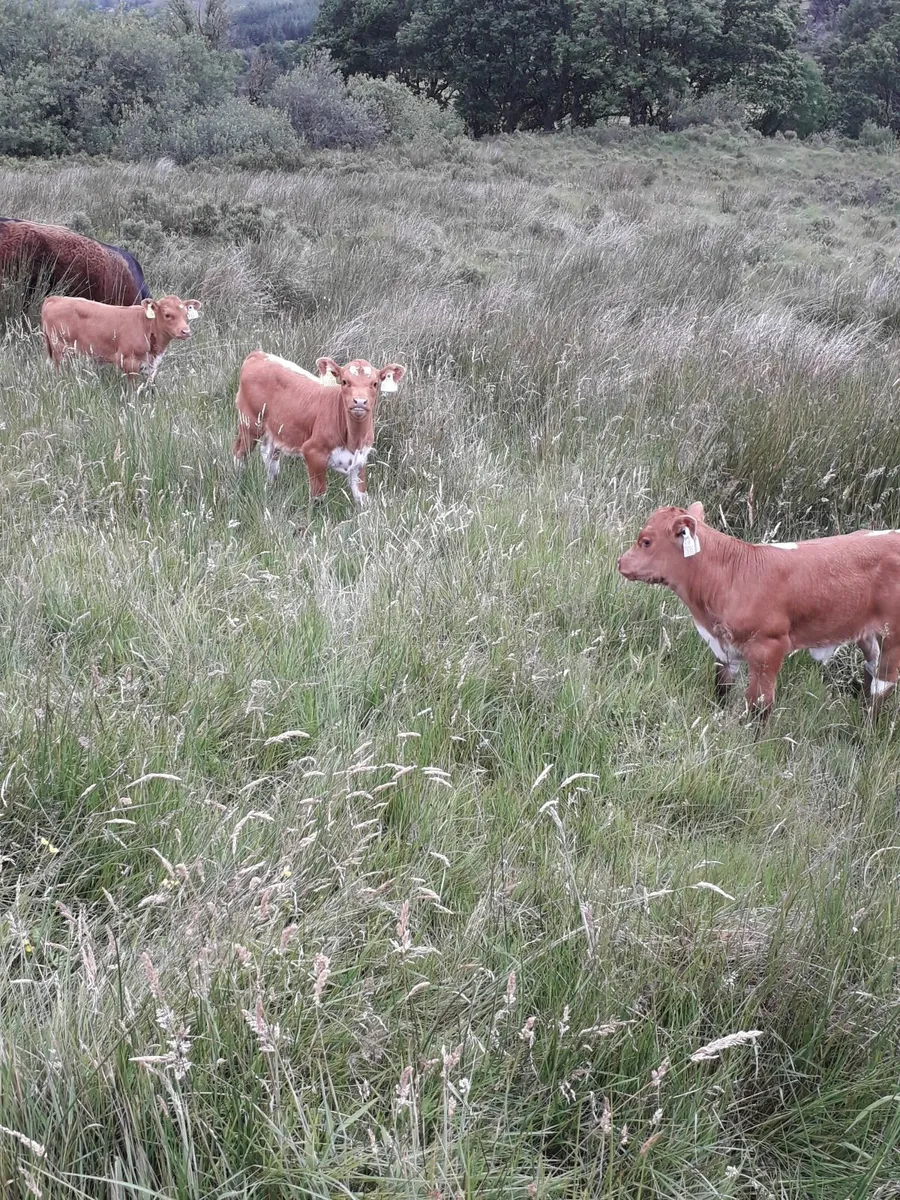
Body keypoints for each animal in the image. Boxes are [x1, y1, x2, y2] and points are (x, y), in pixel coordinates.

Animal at [41, 294, 201, 385]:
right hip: (60, 348)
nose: (186, 331)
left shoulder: (149, 366)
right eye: (167, 315)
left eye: (186, 314)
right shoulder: (129, 361)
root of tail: (57, 298)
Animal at [232, 352, 406, 507]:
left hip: (275, 430)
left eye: (375, 383)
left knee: (269, 455)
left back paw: (271, 487)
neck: (353, 439)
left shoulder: (360, 460)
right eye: (344, 381)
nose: (360, 401)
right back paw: (237, 482)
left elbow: (361, 497)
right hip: (249, 423)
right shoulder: (313, 452)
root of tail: (259, 354)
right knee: (239, 452)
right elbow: (318, 496)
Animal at [617, 502, 900, 717]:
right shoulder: (724, 648)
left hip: (893, 635)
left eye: (646, 541)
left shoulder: (769, 647)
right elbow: (722, 688)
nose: (620, 562)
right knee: (872, 669)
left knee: (883, 682)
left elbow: (759, 704)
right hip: (867, 631)